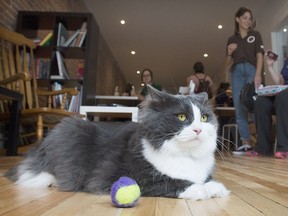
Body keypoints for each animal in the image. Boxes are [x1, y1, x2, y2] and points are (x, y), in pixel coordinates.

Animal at [5, 85, 230, 200]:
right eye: (182, 117)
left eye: (204, 118)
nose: (198, 129)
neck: (186, 155)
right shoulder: (127, 177)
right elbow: (170, 181)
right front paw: (201, 190)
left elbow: (206, 180)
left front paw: (215, 187)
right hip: (71, 130)